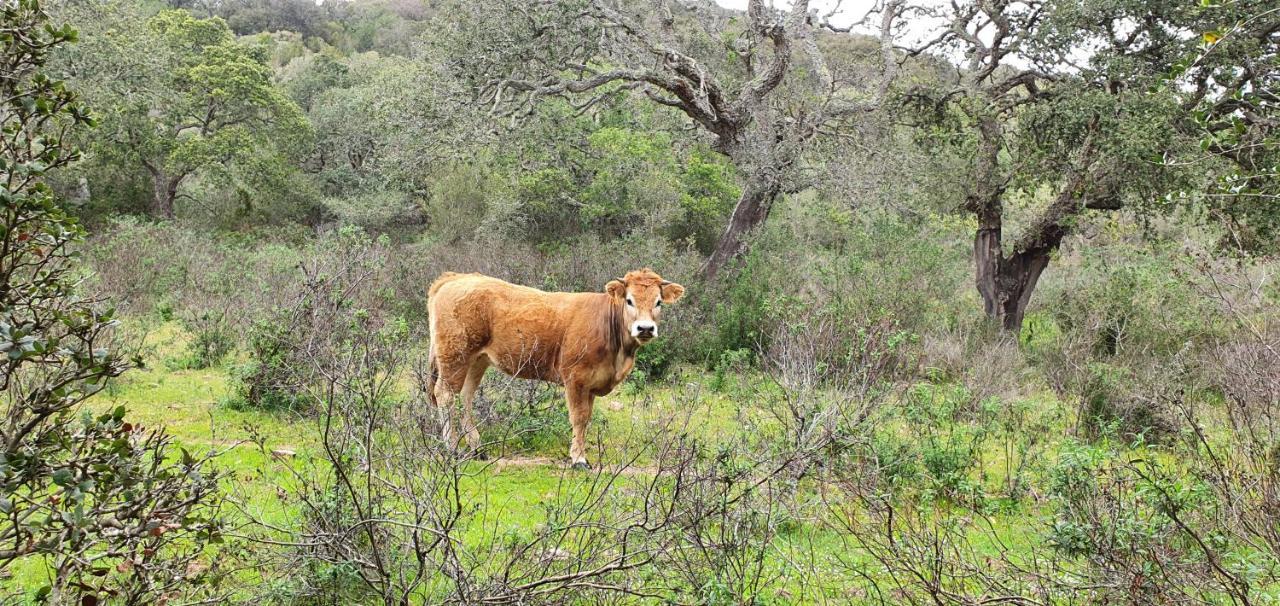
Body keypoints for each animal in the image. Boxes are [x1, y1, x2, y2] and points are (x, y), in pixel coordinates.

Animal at [424, 265, 686, 468]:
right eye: (629, 300)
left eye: (659, 302)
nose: (645, 328)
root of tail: (456, 278)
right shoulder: (576, 378)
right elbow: (579, 418)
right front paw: (579, 459)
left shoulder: (591, 384)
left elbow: (586, 419)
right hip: (454, 356)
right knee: (445, 395)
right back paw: (452, 448)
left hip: (477, 360)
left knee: (465, 397)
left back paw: (476, 447)